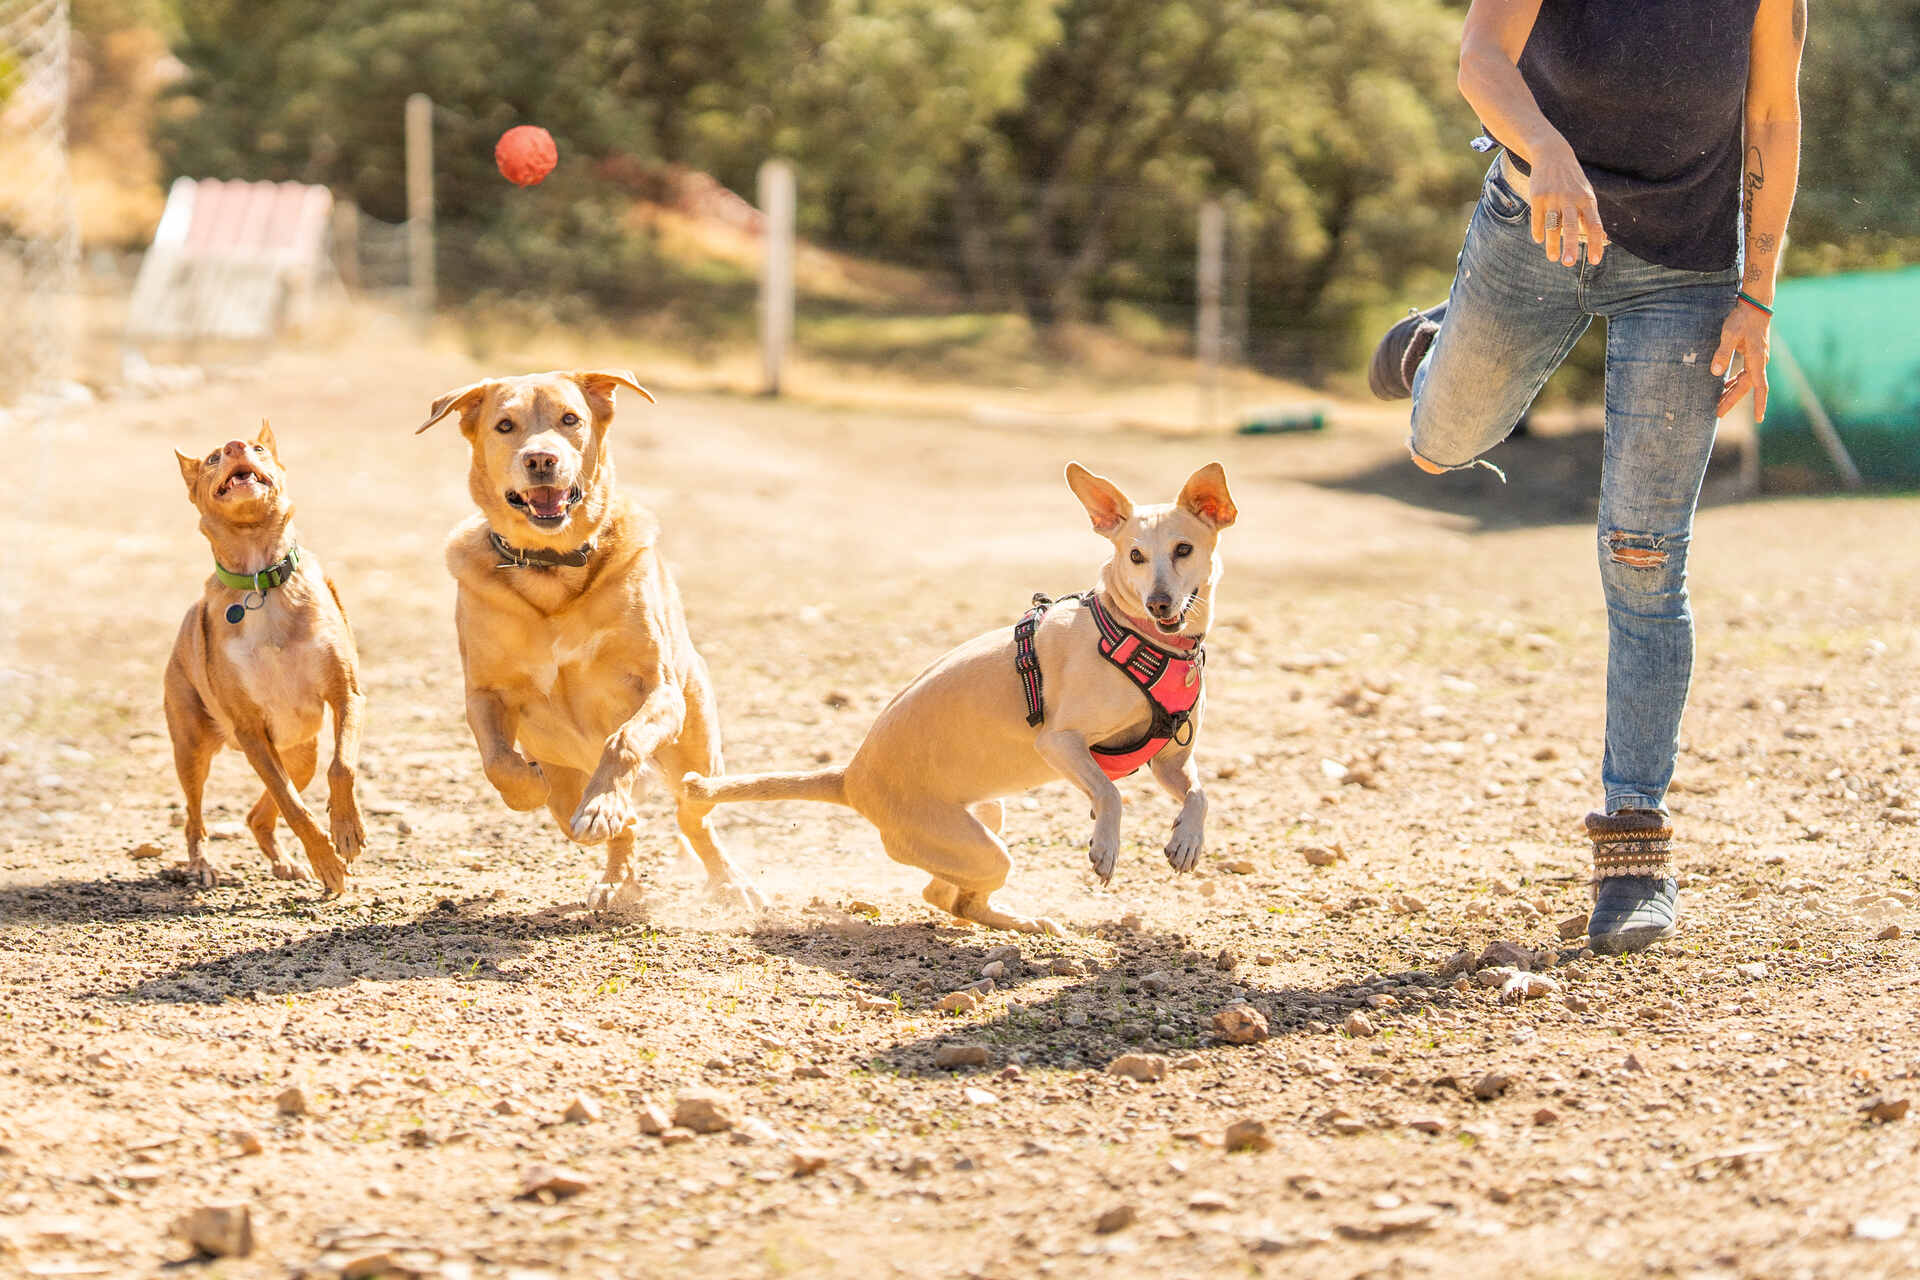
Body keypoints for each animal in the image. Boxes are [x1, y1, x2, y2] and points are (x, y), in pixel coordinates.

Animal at [165, 426, 366, 898]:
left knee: (258, 815)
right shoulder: (251, 730)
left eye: (257, 449)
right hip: (193, 748)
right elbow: (293, 806)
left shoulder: (345, 695)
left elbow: (342, 766)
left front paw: (346, 829)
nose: (236, 446)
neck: (262, 580)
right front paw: (327, 860)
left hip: (300, 755)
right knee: (195, 819)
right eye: (213, 458)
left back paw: (285, 862)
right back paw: (202, 866)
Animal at [418, 368, 756, 909]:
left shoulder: (659, 689)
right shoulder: (484, 693)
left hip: (698, 755)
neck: (552, 569)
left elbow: (623, 740)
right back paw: (618, 877)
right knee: (619, 823)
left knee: (692, 816)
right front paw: (527, 788)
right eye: (505, 425)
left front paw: (601, 805)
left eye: (570, 419)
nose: (541, 459)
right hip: (569, 784)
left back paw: (728, 881)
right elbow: (498, 761)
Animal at [691, 460, 1244, 932]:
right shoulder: (1060, 743)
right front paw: (1106, 845)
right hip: (981, 848)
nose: (1159, 603)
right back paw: (1019, 920)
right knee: (953, 896)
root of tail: (849, 778)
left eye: (1183, 549)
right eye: (1135, 555)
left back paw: (1019, 920)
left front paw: (1187, 840)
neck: (1139, 638)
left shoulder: (1169, 762)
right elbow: (1109, 792)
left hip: (985, 819)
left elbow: (1200, 794)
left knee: (945, 896)